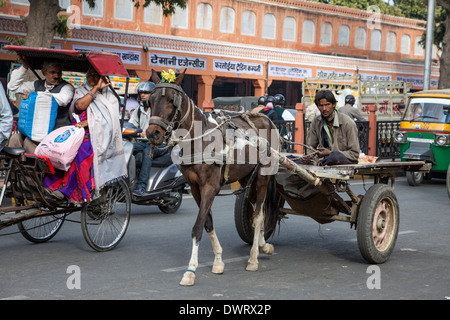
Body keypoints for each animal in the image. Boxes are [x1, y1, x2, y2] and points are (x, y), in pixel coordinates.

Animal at [148, 69, 282, 284]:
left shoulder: (210, 187)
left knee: (259, 215)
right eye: (150, 101)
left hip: (263, 176)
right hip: (247, 177)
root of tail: (266, 119)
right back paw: (263, 244)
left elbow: (197, 227)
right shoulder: (195, 188)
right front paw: (218, 260)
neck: (199, 140)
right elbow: (208, 223)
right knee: (255, 209)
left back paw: (253, 258)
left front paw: (190, 270)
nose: (152, 134)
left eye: (171, 100)